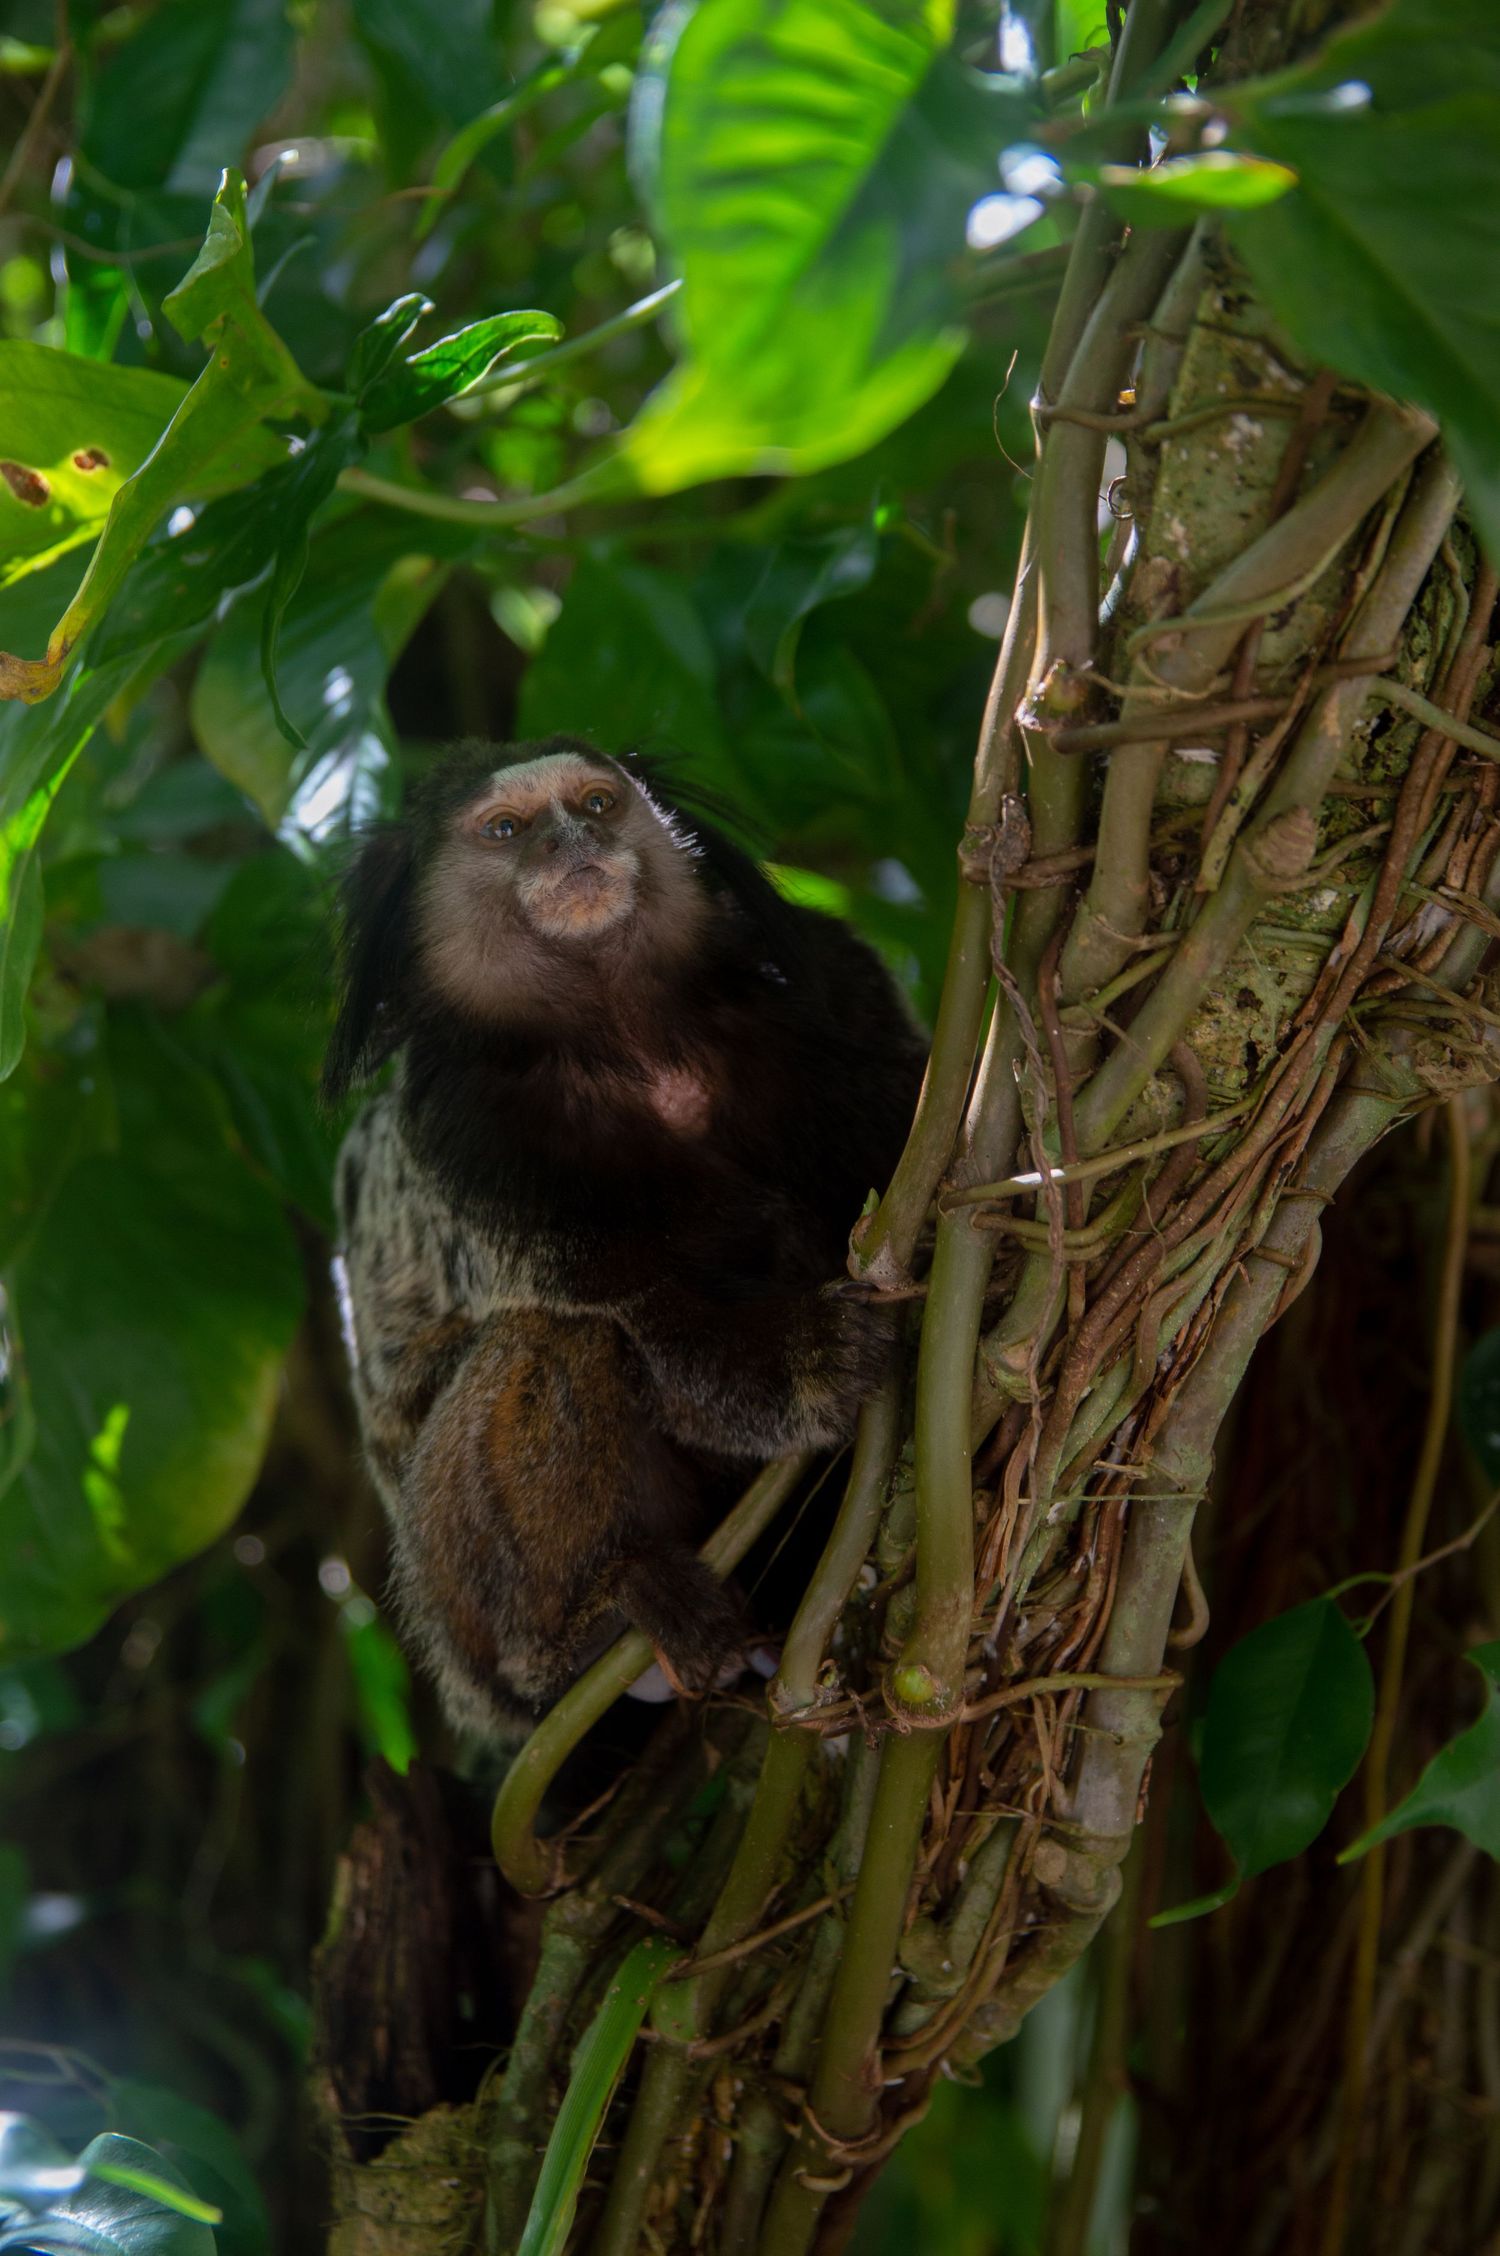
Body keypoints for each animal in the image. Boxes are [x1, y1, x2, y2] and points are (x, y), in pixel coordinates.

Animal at [325, 735, 928, 1743]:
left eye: (598, 804)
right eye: (506, 829)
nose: (573, 841)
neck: (628, 1034)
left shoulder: (829, 984)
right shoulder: (468, 1138)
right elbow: (659, 1321)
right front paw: (820, 1359)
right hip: (455, 1610)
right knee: (555, 1338)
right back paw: (596, 1624)